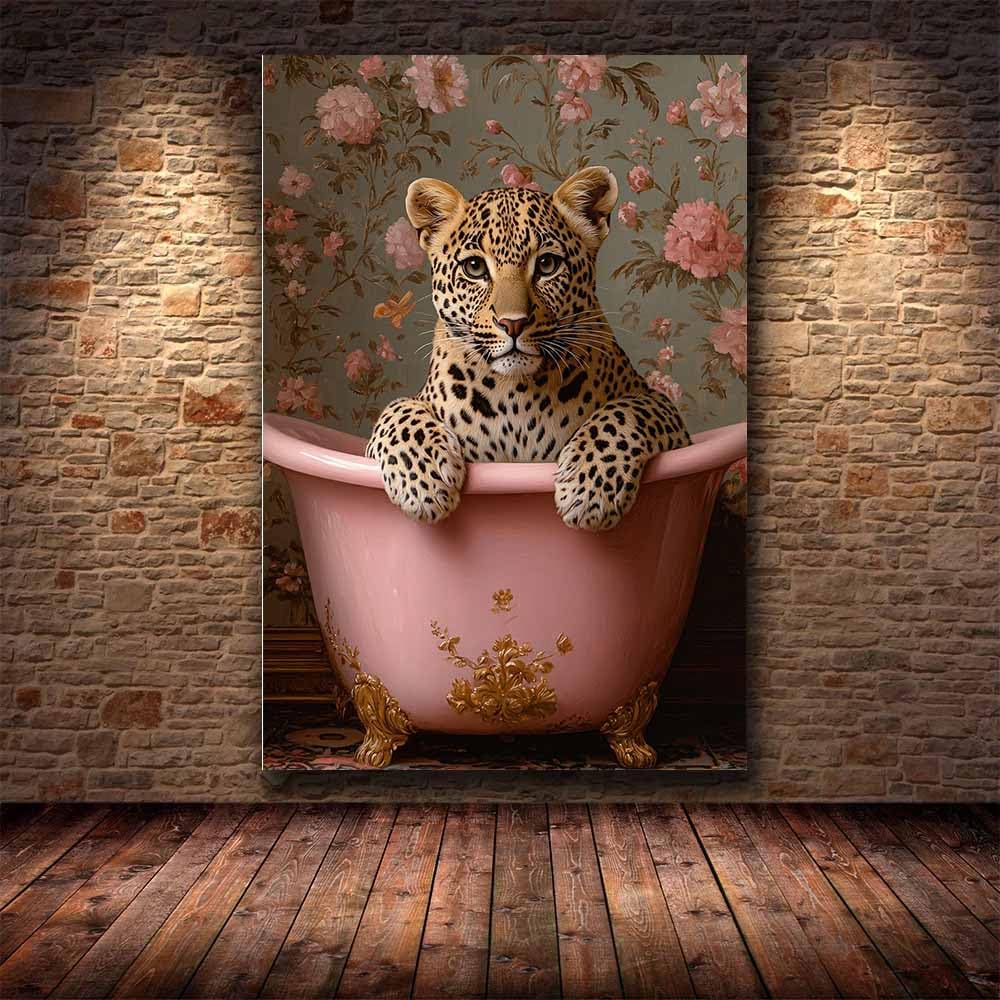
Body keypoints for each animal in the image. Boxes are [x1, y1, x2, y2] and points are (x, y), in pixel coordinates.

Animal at [366, 165, 691, 531]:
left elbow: (622, 415)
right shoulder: (413, 405)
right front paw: (424, 484)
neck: (514, 395)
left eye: (547, 264)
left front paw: (587, 491)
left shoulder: (659, 406)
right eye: (474, 268)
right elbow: (397, 409)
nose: (513, 323)